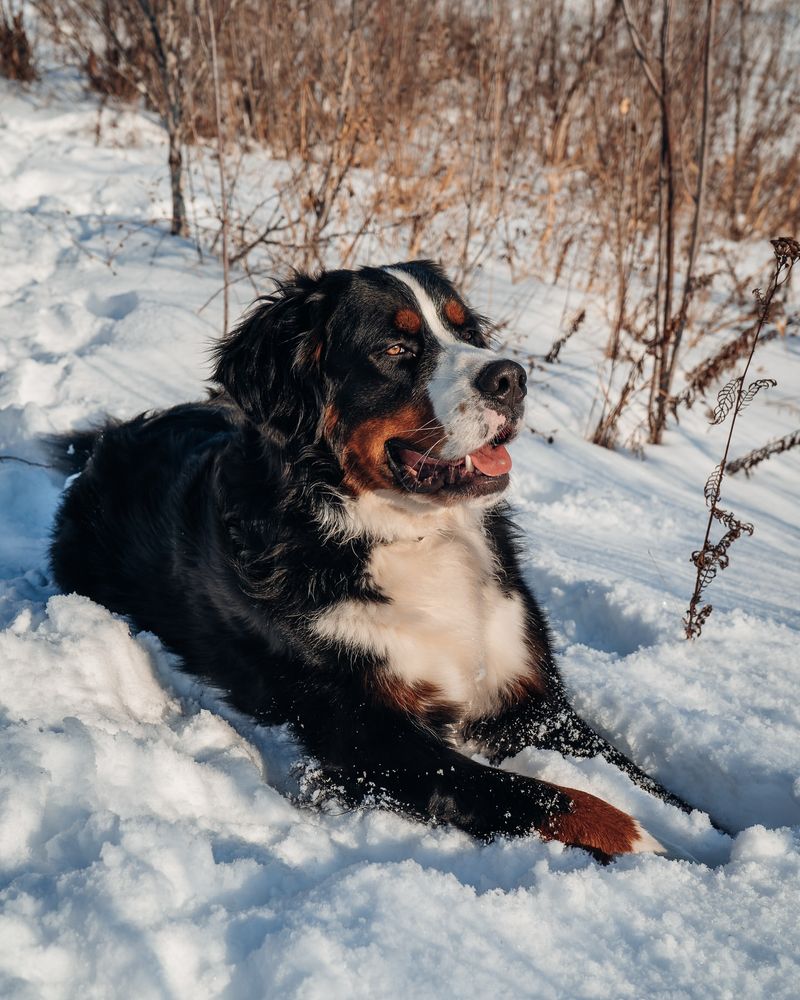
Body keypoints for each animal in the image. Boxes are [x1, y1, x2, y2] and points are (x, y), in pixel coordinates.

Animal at [51, 258, 700, 860]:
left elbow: (657, 788)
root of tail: (111, 437)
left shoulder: (532, 700)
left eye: (467, 332)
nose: (511, 378)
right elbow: (545, 796)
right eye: (396, 348)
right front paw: (653, 849)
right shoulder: (376, 736)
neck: (413, 535)